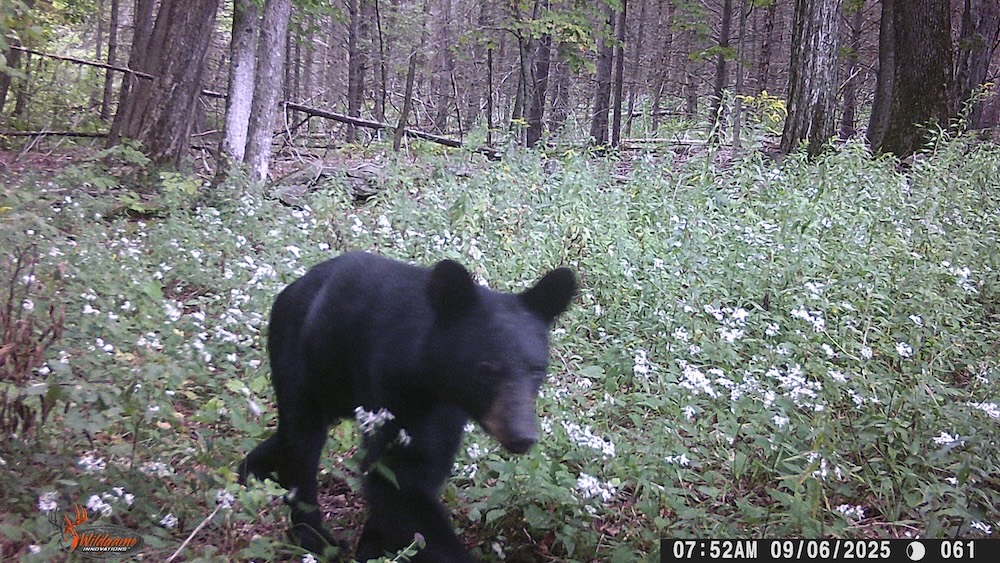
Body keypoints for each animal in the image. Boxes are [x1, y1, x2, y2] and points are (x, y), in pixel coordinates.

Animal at [238, 251, 576, 562]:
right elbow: (398, 480)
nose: (522, 435)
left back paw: (251, 471)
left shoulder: (444, 410)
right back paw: (314, 537)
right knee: (303, 439)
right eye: (488, 369)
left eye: (537, 369)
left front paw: (374, 548)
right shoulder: (396, 389)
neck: (429, 373)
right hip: (299, 352)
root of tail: (294, 285)